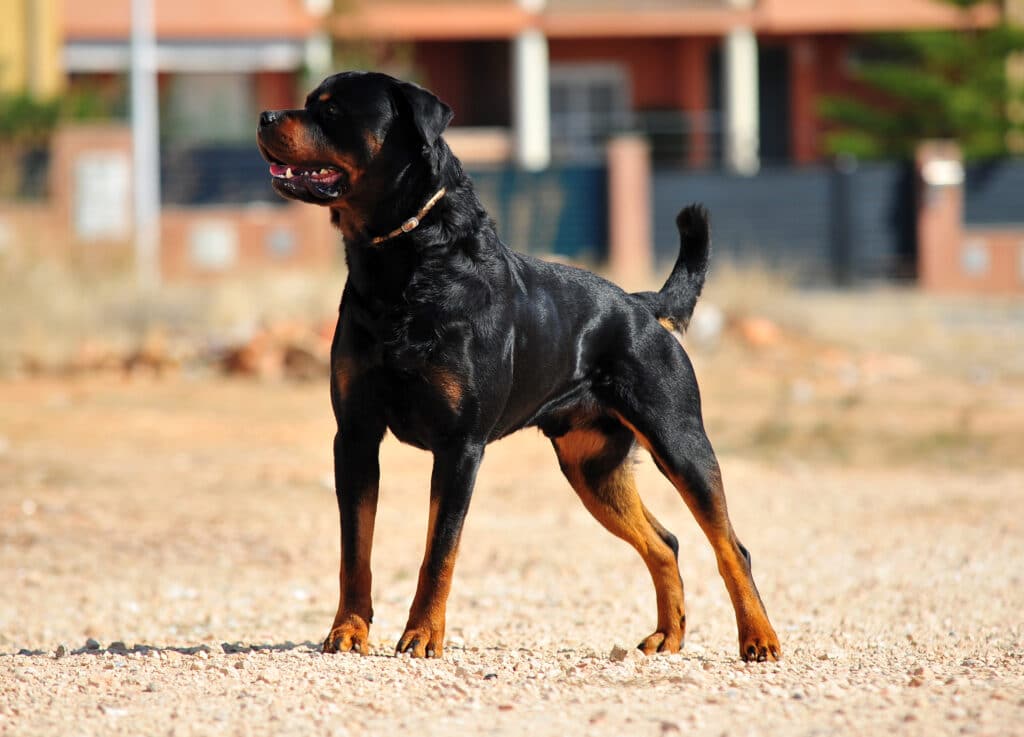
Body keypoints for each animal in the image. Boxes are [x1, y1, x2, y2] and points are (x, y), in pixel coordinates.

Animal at [258, 72, 782, 663]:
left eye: (332, 111)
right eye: (308, 102)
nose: (265, 117)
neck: (406, 261)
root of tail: (641, 307)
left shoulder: (460, 447)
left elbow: (439, 551)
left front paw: (422, 636)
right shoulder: (355, 436)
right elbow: (355, 549)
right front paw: (348, 630)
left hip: (680, 441)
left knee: (730, 545)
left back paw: (759, 638)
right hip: (591, 469)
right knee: (664, 542)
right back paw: (668, 636)